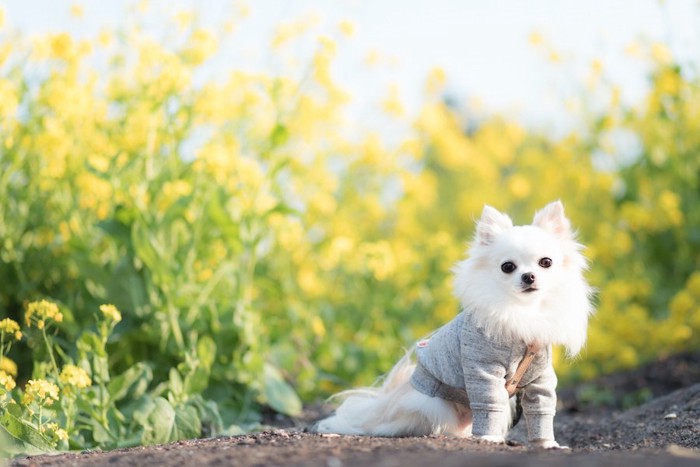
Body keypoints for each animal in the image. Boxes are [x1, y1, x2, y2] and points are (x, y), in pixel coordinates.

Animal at [314, 202, 592, 450]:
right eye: (508, 267)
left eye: (546, 262)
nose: (529, 276)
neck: (523, 311)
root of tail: (389, 402)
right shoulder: (483, 371)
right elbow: (489, 403)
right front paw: (489, 439)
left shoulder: (540, 378)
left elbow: (542, 409)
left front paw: (547, 443)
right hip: (432, 404)